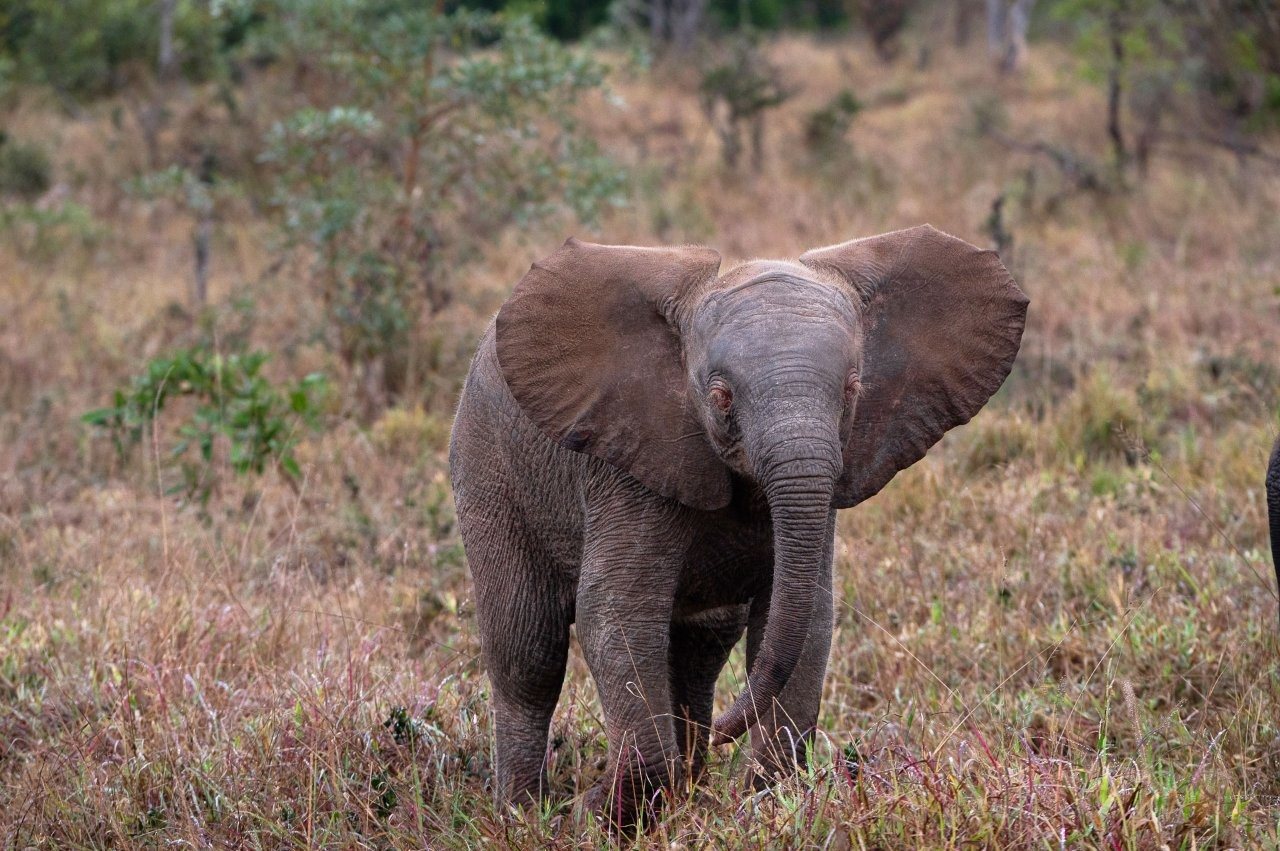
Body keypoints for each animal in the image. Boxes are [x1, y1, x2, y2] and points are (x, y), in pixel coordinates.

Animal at [448, 224, 1029, 826]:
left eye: (852, 389)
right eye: (721, 395)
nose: (725, 735)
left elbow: (805, 618)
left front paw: (772, 804)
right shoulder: (628, 465)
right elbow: (614, 612)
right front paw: (594, 819)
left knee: (699, 651)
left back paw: (687, 784)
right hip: (488, 466)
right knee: (528, 649)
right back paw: (520, 815)